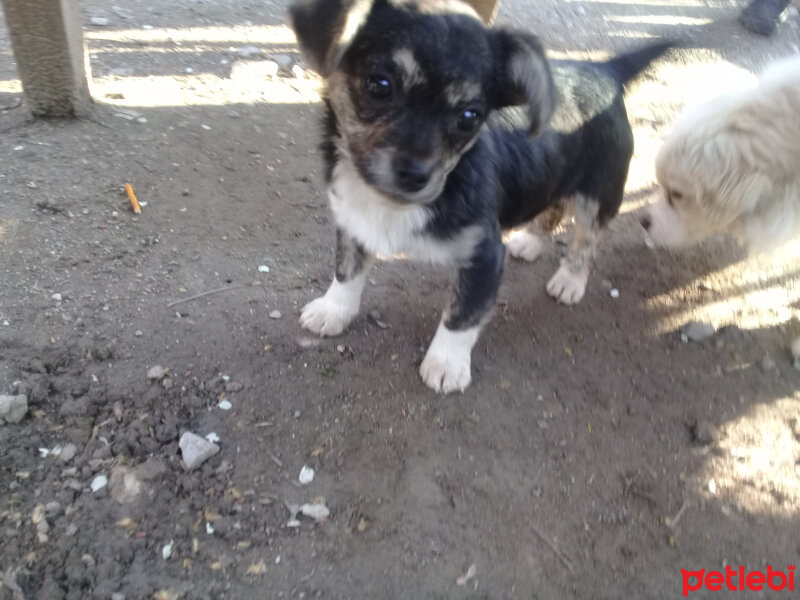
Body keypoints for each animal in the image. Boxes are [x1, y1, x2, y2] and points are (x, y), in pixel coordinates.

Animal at [290, 0, 672, 394]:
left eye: (469, 117)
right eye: (379, 85)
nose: (415, 175)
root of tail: (605, 71)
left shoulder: (485, 255)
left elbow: (462, 316)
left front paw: (446, 364)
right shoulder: (352, 223)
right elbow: (346, 271)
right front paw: (333, 310)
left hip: (598, 194)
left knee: (587, 240)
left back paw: (570, 281)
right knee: (553, 205)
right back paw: (531, 242)